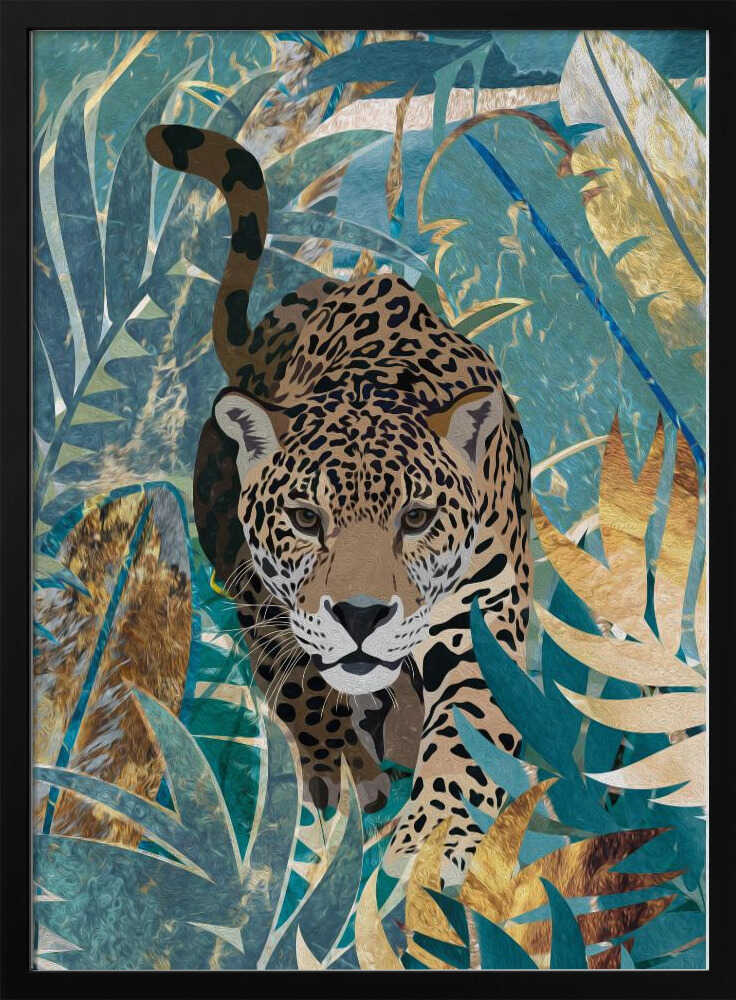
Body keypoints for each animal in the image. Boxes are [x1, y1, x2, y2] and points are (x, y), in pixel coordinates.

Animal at [146, 124, 532, 884]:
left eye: (417, 520)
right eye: (305, 519)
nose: (359, 615)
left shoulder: (483, 616)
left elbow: (469, 733)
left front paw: (430, 841)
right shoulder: (264, 589)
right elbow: (294, 670)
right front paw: (341, 765)